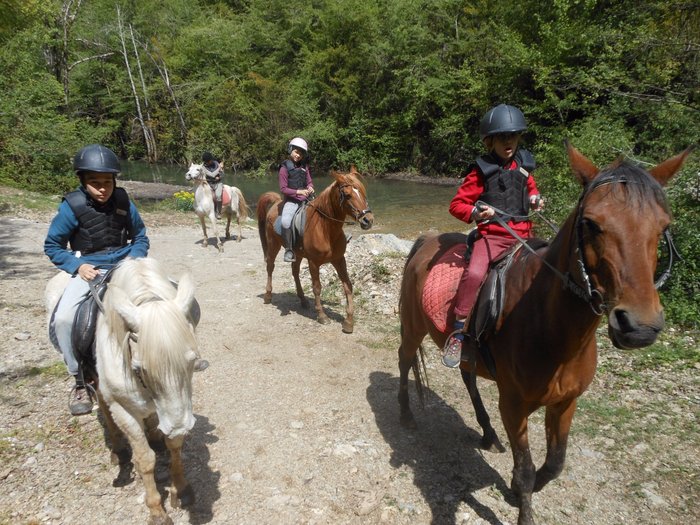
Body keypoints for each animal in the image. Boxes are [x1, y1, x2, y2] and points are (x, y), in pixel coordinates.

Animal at [45, 258, 200, 524]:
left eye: (191, 361)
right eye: (139, 368)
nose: (179, 426)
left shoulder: (177, 405)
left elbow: (175, 444)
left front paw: (181, 489)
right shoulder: (123, 407)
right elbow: (145, 458)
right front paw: (156, 510)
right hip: (95, 380)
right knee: (104, 408)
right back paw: (118, 449)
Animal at [258, 166, 374, 334]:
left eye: (363, 192)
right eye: (347, 195)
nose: (368, 220)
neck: (325, 229)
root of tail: (276, 203)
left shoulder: (339, 259)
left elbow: (348, 285)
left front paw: (349, 321)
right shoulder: (313, 263)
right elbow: (317, 287)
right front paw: (322, 315)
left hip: (297, 253)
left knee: (295, 271)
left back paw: (303, 300)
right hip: (273, 245)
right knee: (270, 267)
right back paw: (268, 296)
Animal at [396, 143, 692, 524]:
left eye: (663, 226)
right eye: (590, 223)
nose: (639, 326)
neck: (553, 329)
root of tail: (427, 241)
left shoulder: (566, 403)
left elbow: (554, 464)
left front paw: (516, 487)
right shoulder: (513, 405)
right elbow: (525, 470)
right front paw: (521, 499)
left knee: (467, 376)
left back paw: (487, 433)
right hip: (413, 330)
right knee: (405, 362)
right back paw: (406, 414)